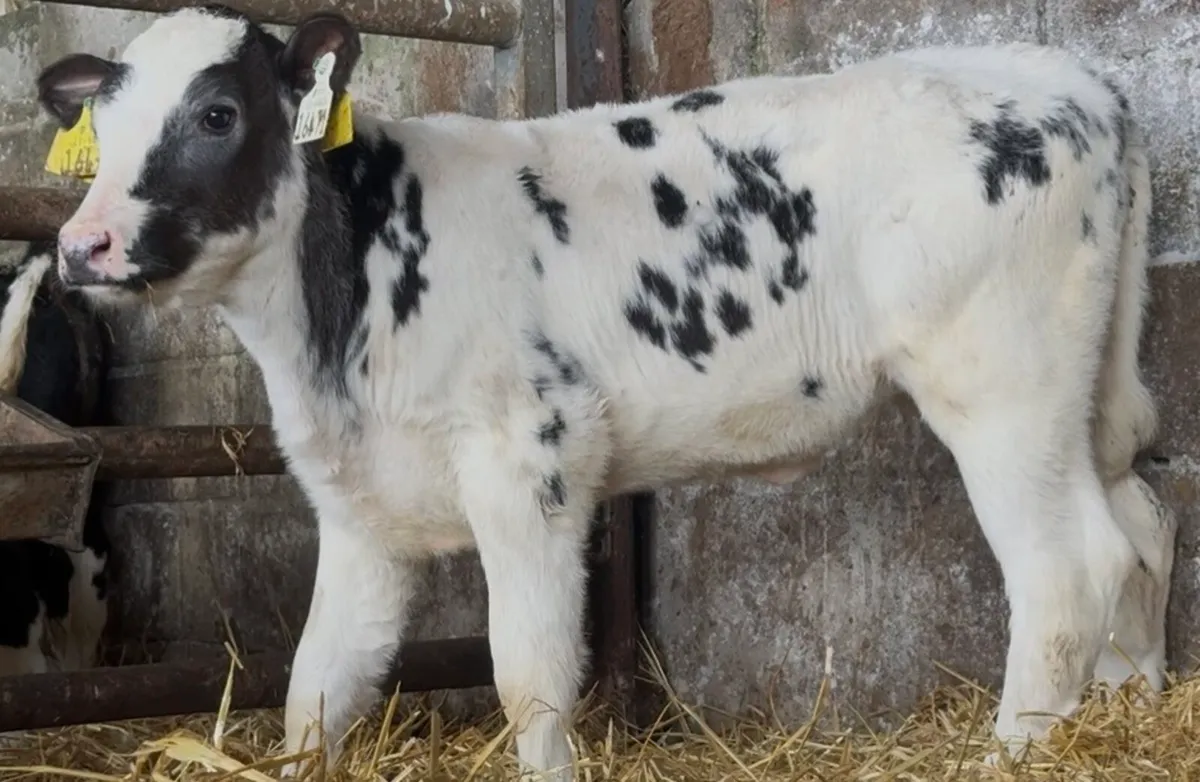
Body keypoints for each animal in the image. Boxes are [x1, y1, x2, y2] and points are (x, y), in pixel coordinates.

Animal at [34, 4, 1176, 777]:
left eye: (217, 112)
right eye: (100, 130)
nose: (81, 245)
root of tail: (1066, 73)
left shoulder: (530, 457)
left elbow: (528, 670)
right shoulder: (360, 505)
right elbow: (319, 681)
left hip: (1001, 382)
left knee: (1068, 566)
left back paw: (1016, 750)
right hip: (1082, 393)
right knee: (1142, 528)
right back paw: (1133, 710)